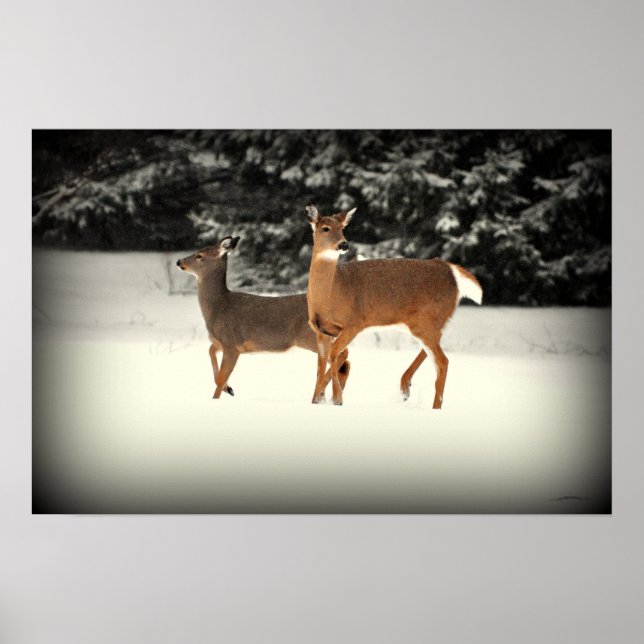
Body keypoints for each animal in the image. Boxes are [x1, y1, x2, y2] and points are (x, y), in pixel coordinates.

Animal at [176, 235, 350, 399]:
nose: (179, 261)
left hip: (311, 337)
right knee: (344, 360)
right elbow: (211, 354)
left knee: (342, 355)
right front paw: (229, 389)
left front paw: (219, 395)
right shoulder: (220, 342)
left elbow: (220, 377)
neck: (218, 308)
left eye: (200, 255)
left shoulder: (231, 342)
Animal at [305, 205, 482, 407]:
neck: (330, 295)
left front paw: (337, 398)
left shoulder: (355, 322)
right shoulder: (320, 330)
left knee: (443, 361)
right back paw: (405, 388)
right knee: (435, 349)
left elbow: (334, 354)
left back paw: (433, 405)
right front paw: (317, 399)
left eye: (342, 228)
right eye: (325, 228)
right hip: (422, 323)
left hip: (426, 319)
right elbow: (323, 363)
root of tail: (451, 271)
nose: (344, 245)